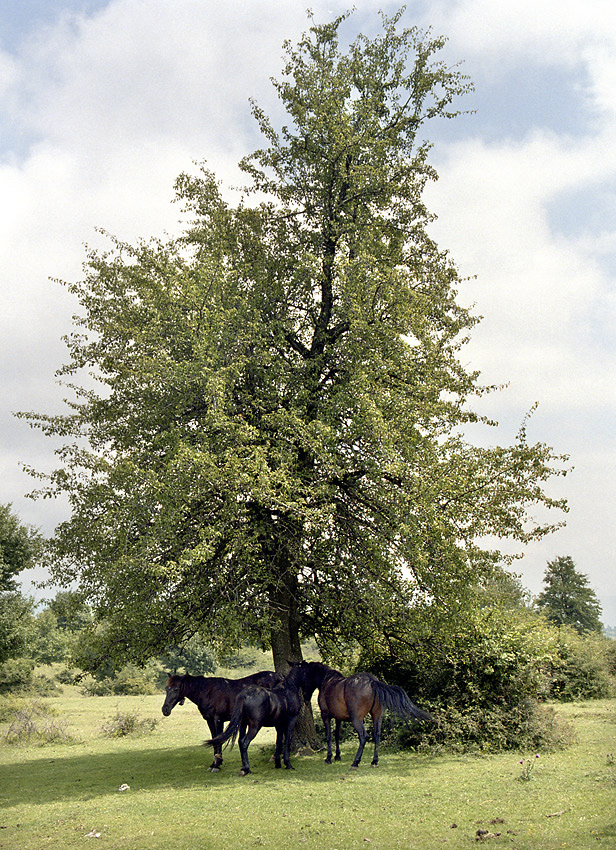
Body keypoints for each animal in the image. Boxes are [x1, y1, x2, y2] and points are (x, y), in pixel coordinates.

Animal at [292, 656, 430, 768]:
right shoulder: (338, 718)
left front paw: (329, 758)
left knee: (363, 736)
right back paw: (374, 761)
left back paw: (355, 762)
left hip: (356, 719)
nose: (305, 697)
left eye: (304, 676)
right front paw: (337, 756)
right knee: (377, 735)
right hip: (377, 716)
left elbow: (329, 736)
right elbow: (337, 735)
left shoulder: (326, 715)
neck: (327, 681)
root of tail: (372, 682)